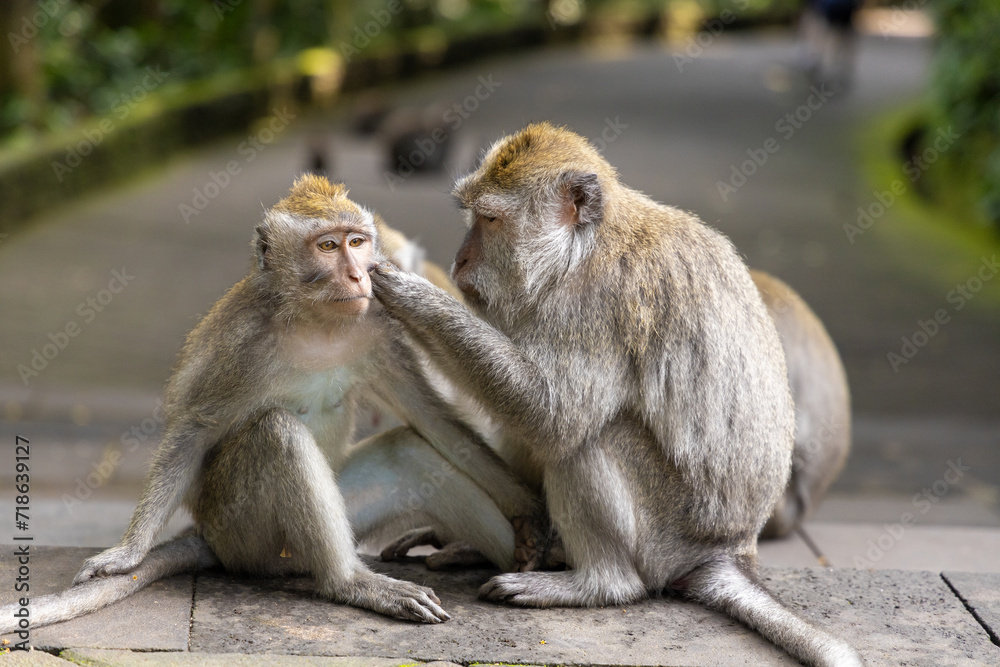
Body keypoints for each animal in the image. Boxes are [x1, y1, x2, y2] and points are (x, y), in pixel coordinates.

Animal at [0, 175, 540, 636]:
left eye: (357, 243)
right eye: (328, 246)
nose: (357, 275)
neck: (315, 323)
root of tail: (207, 535)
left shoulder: (378, 329)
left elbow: (431, 417)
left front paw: (531, 509)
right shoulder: (242, 343)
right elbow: (195, 427)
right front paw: (126, 553)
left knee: (411, 453)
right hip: (245, 534)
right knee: (277, 433)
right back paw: (353, 583)